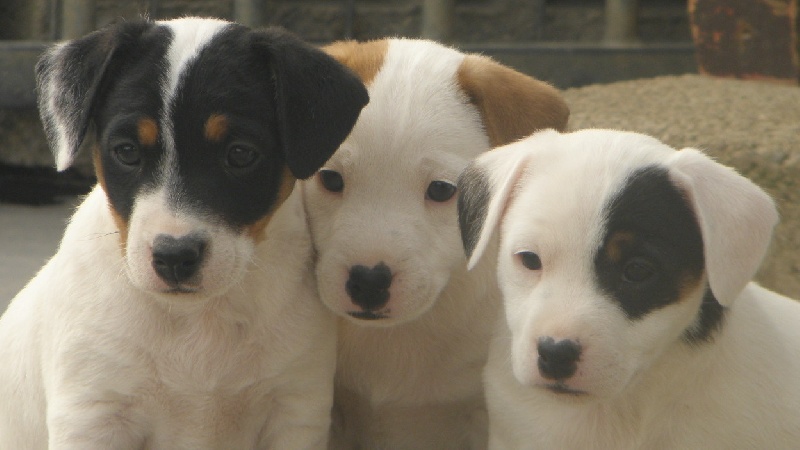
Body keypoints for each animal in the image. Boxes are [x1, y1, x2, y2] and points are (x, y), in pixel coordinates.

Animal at [0, 15, 368, 448]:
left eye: (240, 154)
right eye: (126, 151)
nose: (174, 256)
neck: (197, 317)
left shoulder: (295, 410)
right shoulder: (93, 414)